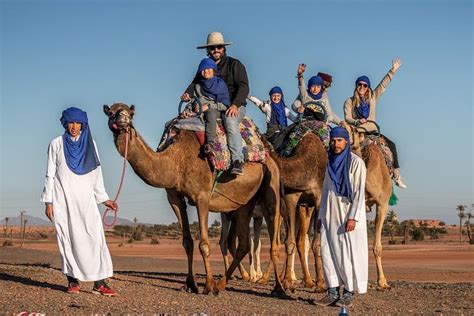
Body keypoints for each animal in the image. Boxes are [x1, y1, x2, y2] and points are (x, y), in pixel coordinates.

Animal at [102, 102, 284, 296]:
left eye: (131, 113)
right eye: (111, 113)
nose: (123, 119)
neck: (175, 160)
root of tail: (269, 155)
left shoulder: (202, 196)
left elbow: (204, 244)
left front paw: (208, 285)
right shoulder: (174, 197)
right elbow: (187, 242)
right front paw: (190, 284)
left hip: (271, 187)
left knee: (273, 239)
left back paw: (278, 288)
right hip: (243, 203)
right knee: (243, 243)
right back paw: (222, 284)